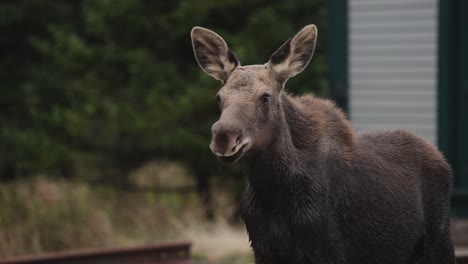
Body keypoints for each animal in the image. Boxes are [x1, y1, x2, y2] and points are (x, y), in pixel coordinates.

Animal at [189, 24, 454, 264]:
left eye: (265, 96)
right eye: (219, 97)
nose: (224, 137)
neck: (274, 190)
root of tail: (442, 160)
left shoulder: (328, 249)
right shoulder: (263, 250)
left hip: (439, 243)